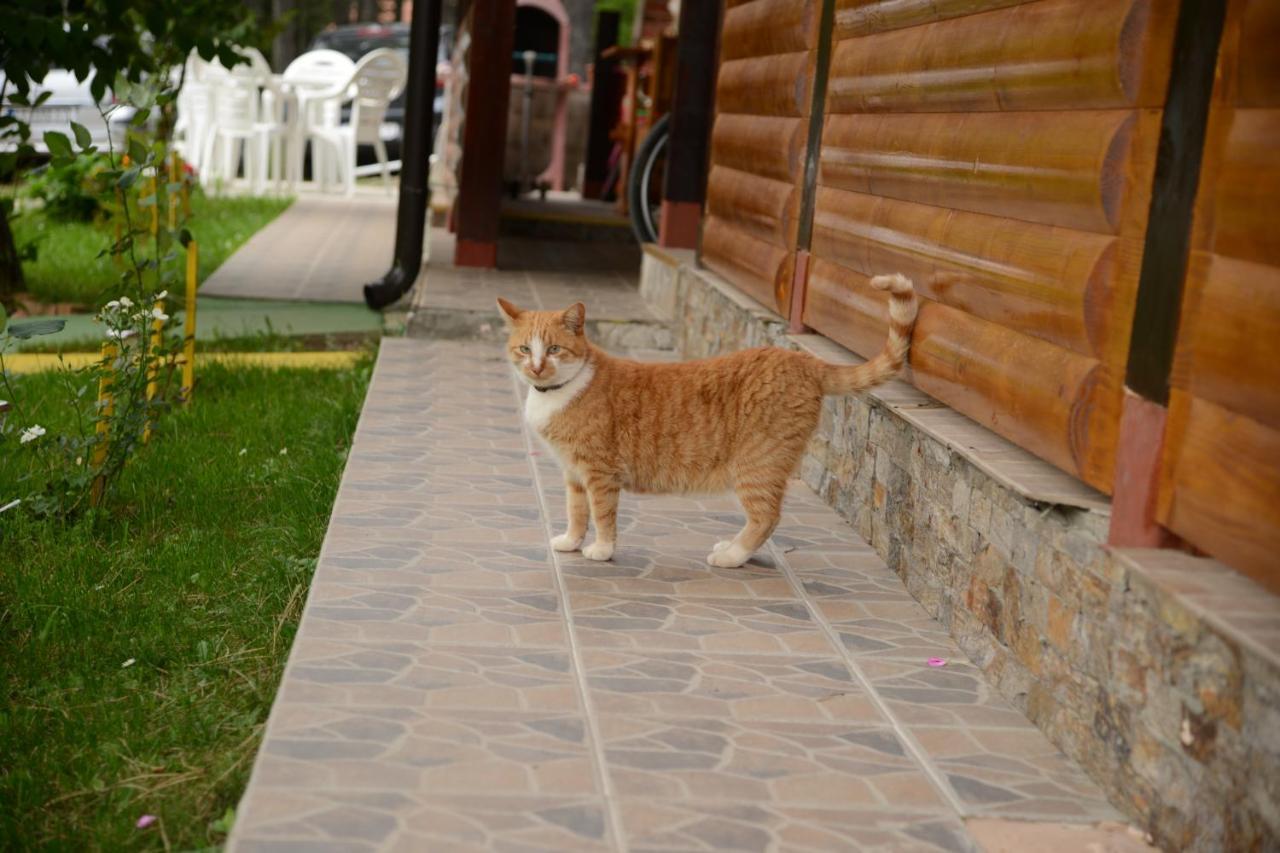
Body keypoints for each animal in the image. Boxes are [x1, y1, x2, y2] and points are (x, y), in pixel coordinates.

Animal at [499, 272, 921, 563]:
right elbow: (576, 511)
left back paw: (731, 556)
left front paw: (601, 550)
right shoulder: (573, 473)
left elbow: (602, 514)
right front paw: (571, 542)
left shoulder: (599, 472)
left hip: (757, 464)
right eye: (525, 349)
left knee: (766, 516)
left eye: (554, 349)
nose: (537, 368)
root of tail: (803, 360)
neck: (558, 391)